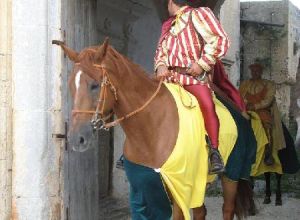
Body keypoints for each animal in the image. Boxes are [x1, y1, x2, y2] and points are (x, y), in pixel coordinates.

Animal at [53, 38, 253, 219]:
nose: (76, 138)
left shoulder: (178, 188)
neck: (151, 129)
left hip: (231, 175)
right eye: (70, 84)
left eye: (94, 85)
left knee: (227, 209)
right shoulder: (141, 189)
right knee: (200, 212)